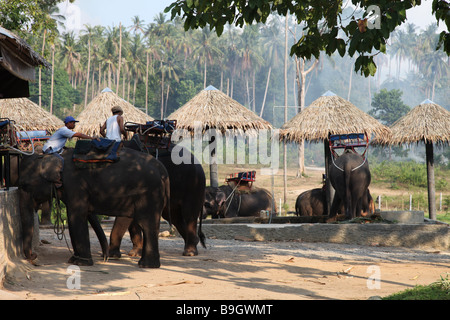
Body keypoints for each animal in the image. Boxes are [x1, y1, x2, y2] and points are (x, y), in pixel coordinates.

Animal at [17, 147, 169, 268]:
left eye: (24, 185)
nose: (34, 256)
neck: (56, 155)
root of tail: (162, 170)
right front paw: (73, 260)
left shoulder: (75, 185)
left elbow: (76, 216)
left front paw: (81, 263)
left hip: (150, 194)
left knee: (147, 224)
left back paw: (146, 265)